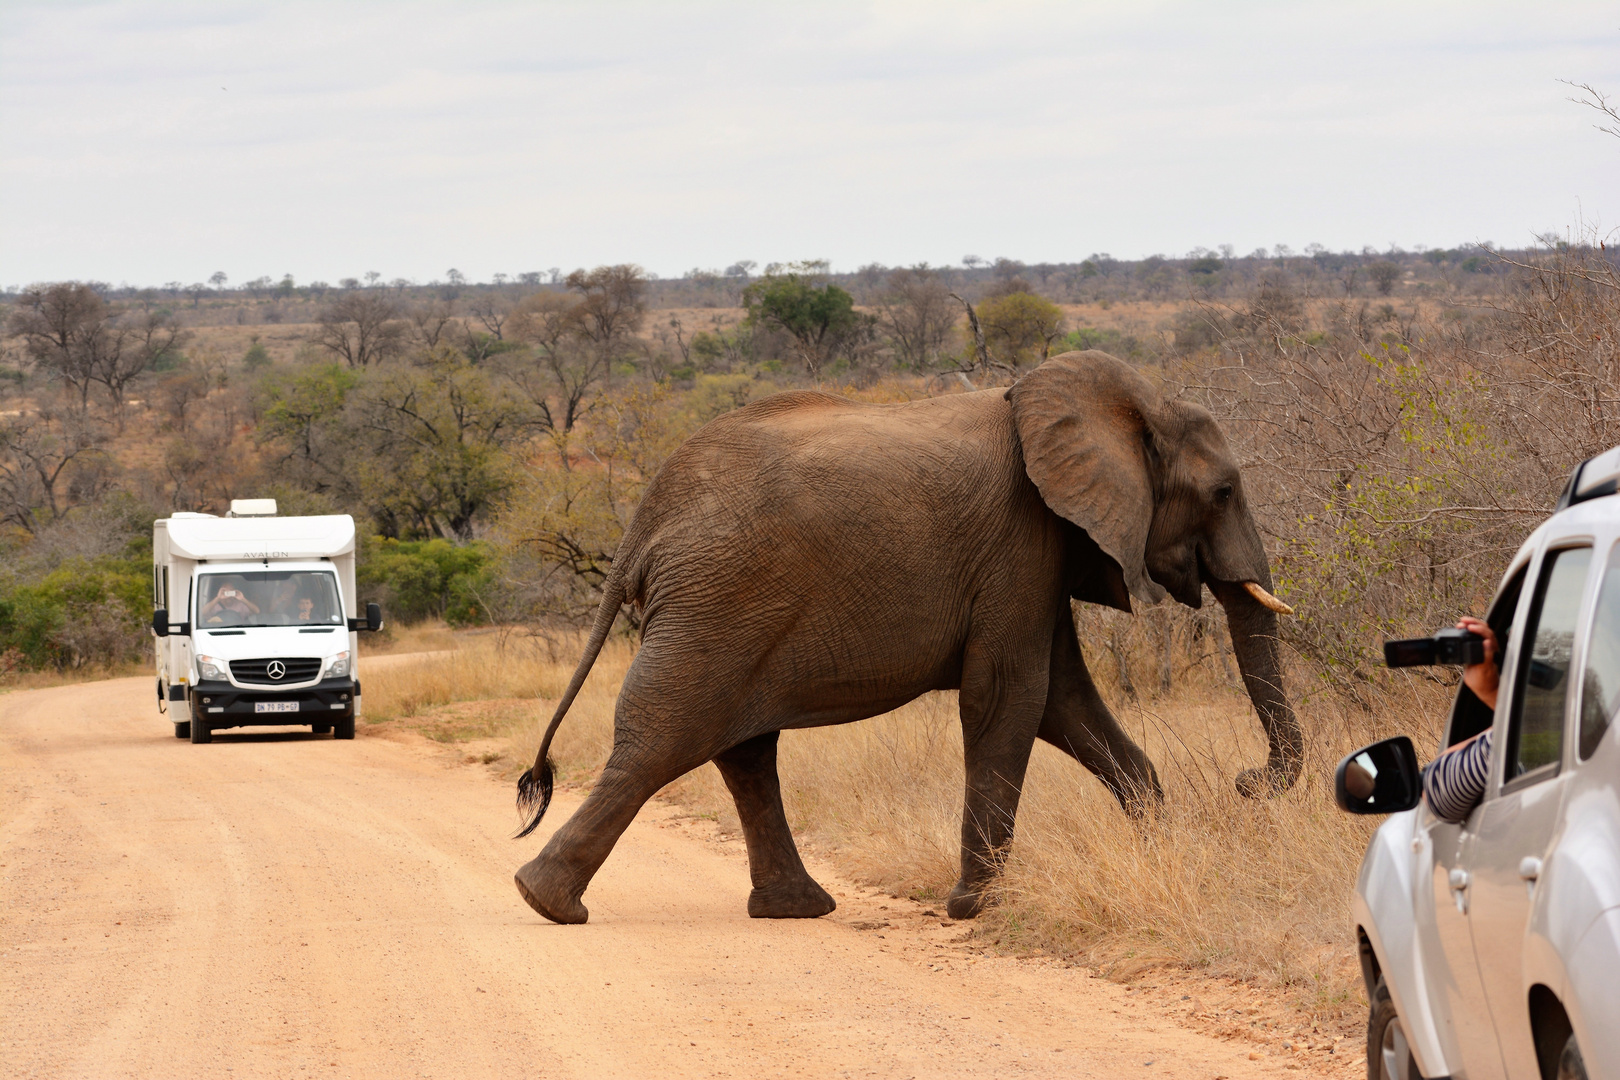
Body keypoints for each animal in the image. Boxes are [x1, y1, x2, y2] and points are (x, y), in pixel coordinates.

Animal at [518, 351, 1302, 926]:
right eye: (1224, 492)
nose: (1247, 780)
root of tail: (644, 522)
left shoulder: (1041, 550)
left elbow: (1064, 701)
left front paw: (1160, 849)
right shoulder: (1021, 539)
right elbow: (1010, 698)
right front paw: (975, 909)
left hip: (725, 606)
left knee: (741, 751)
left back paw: (795, 910)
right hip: (719, 602)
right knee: (663, 741)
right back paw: (549, 904)